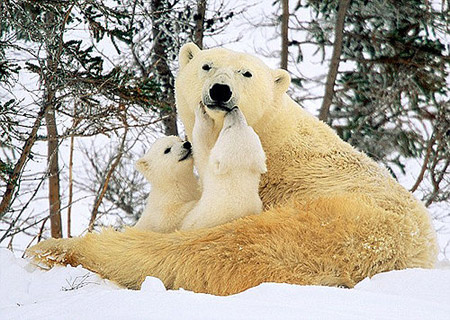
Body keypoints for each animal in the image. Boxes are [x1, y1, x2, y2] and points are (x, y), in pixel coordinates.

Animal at [26, 42, 438, 296]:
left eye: (246, 73)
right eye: (206, 65)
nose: (220, 91)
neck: (274, 132)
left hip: (336, 226)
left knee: (220, 251)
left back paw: (59, 249)